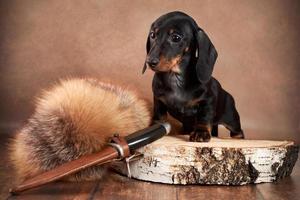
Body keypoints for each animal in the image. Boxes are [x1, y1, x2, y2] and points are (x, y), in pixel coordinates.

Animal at [142, 11, 244, 142]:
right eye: (153, 35)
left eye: (176, 37)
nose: (150, 62)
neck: (176, 78)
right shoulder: (159, 100)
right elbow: (159, 116)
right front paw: (155, 128)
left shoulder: (207, 101)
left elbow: (204, 117)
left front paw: (201, 132)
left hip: (231, 117)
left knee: (238, 131)